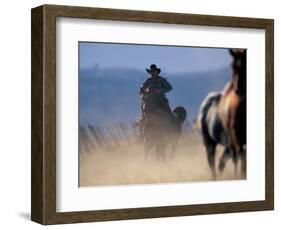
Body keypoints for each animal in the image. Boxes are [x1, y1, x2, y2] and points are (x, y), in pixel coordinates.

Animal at [197, 48, 245, 179]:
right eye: (232, 66)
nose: (239, 90)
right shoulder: (236, 138)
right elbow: (239, 158)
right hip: (210, 142)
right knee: (213, 162)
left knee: (221, 163)